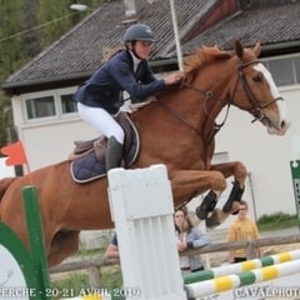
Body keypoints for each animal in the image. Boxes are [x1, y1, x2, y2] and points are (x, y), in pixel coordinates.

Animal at [0, 39, 290, 264]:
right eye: (257, 78)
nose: (283, 123)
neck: (181, 121)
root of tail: (13, 187)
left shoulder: (202, 167)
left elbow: (237, 168)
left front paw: (221, 212)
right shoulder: (172, 180)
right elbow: (217, 180)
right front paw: (201, 214)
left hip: (60, 245)